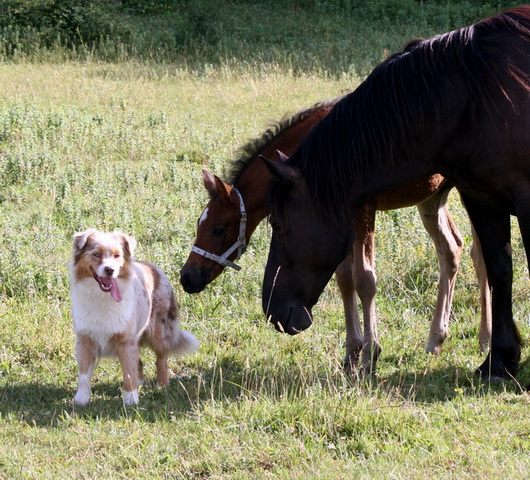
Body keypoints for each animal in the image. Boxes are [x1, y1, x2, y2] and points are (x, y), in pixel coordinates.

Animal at [68, 229, 196, 404]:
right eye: (96, 254)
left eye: (117, 255)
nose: (110, 270)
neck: (102, 297)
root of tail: (154, 267)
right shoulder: (85, 339)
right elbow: (84, 374)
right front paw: (81, 399)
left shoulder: (125, 340)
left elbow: (128, 372)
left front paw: (130, 399)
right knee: (139, 362)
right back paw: (140, 383)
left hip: (159, 333)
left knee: (161, 359)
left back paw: (162, 385)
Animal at [179, 99, 488, 374]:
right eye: (199, 225)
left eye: (218, 229)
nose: (187, 278)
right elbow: (344, 280)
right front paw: (352, 352)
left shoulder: (362, 211)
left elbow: (364, 280)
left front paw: (370, 355)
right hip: (432, 196)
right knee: (452, 249)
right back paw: (436, 338)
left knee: (479, 256)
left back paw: (485, 338)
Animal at [260, 6, 528, 378]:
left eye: (279, 224)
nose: (270, 309)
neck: (469, 97)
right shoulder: (481, 198)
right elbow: (500, 269)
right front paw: (500, 361)